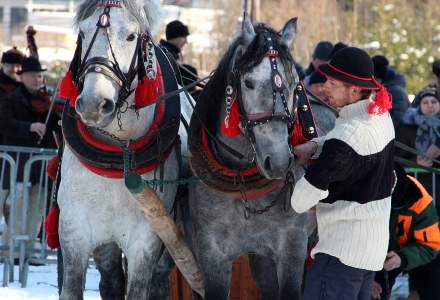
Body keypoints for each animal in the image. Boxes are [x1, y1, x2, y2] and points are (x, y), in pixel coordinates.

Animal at [57, 1, 194, 298]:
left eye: (131, 36)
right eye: (82, 33)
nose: (93, 104)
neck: (120, 153)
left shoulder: (147, 238)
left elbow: (139, 287)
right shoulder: (74, 229)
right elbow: (73, 286)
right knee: (110, 280)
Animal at [187, 17, 336, 298]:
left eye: (294, 84)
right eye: (248, 83)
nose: (278, 160)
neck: (242, 186)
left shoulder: (291, 250)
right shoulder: (212, 254)